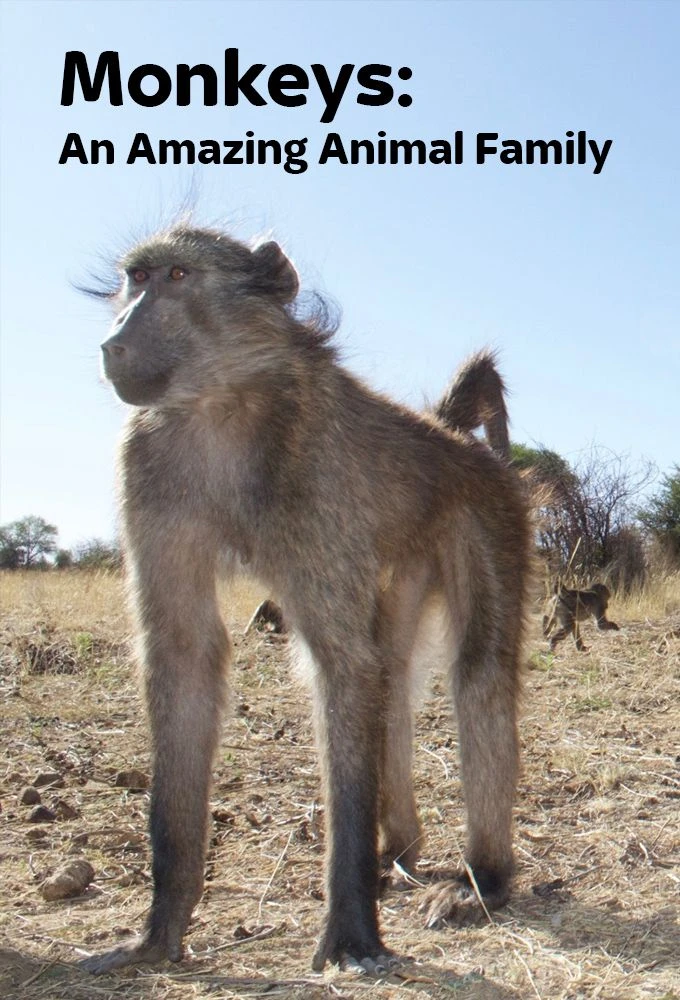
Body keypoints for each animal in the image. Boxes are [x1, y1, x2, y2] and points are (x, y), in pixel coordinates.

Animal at [82, 224, 530, 976]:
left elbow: (343, 665)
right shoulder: (147, 461)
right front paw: (159, 930)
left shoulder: (318, 467)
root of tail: (453, 441)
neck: (225, 404)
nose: (113, 342)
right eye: (134, 278)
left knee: (476, 673)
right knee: (395, 675)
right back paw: (398, 851)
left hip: (487, 517)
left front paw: (351, 933)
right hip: (408, 564)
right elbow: (185, 657)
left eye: (177, 276)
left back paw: (482, 882)